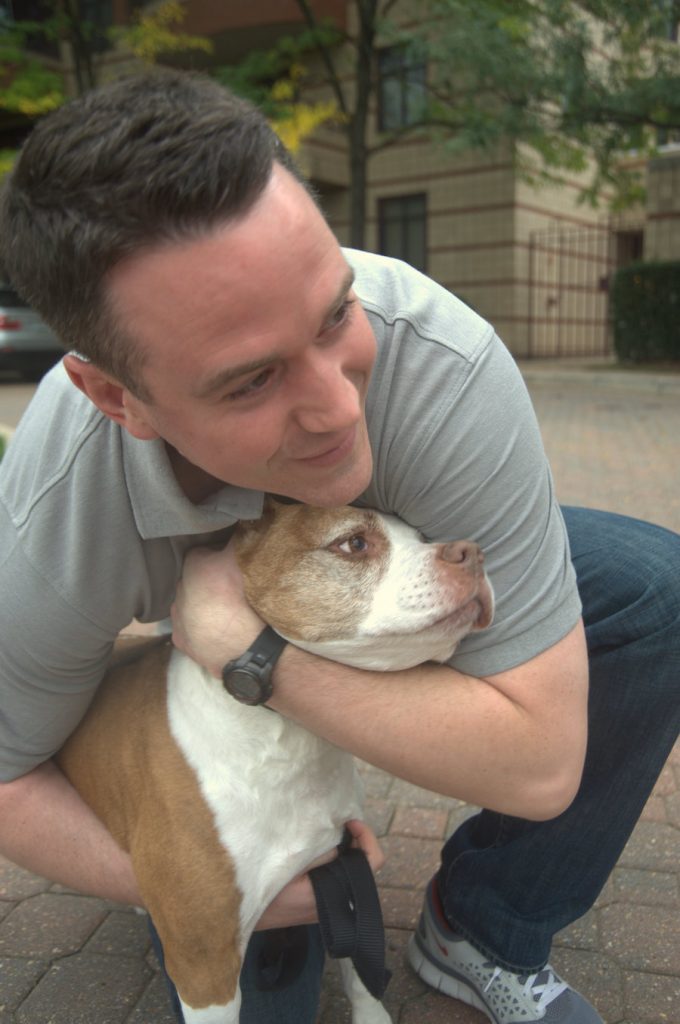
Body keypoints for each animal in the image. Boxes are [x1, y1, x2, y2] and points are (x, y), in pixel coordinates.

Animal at [55, 503, 491, 1024]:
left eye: (422, 536)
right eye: (353, 543)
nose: (473, 552)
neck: (289, 740)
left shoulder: (347, 876)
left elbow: (361, 976)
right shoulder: (206, 968)